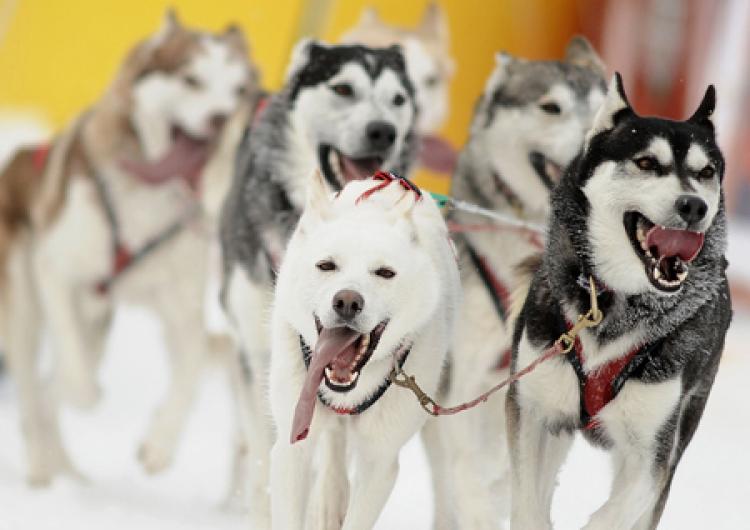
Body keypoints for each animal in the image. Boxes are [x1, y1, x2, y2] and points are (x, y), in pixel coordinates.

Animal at [0, 11, 260, 482]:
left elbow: (190, 366)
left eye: (239, 91)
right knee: (33, 391)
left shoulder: (181, 310)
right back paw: (42, 469)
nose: (221, 118)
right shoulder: (57, 271)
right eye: (191, 79)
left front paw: (160, 444)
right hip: (25, 309)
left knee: (50, 392)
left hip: (95, 318)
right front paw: (85, 393)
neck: (148, 201)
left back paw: (68, 471)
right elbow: (73, 370)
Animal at [268, 171, 462, 524]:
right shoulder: (292, 447)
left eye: (385, 272)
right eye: (326, 265)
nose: (347, 301)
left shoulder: (380, 461)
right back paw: (329, 497)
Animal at [512, 71, 736, 528]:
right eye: (647, 163)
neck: (618, 301)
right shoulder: (536, 415)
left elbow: (613, 514)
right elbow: (528, 505)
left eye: (706, 171)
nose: (694, 206)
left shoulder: (652, 457)